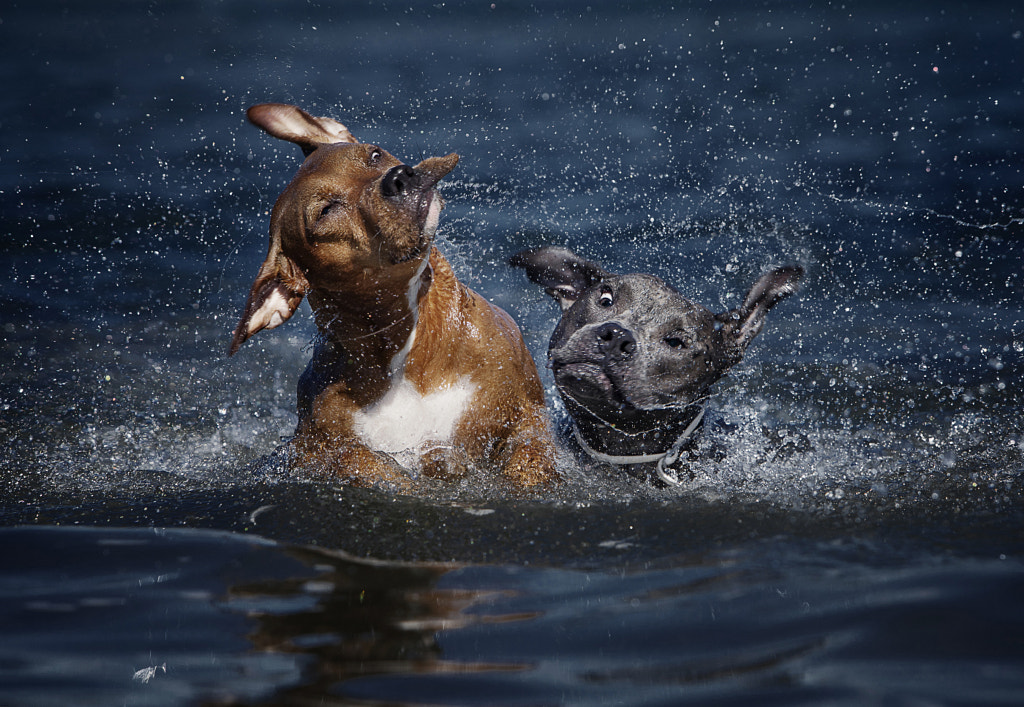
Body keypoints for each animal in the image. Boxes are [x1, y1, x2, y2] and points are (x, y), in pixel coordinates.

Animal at [229, 104, 557, 487]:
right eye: (326, 211)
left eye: (375, 154)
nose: (399, 177)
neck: (408, 354)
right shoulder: (316, 444)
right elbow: (360, 462)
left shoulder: (527, 412)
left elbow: (530, 456)